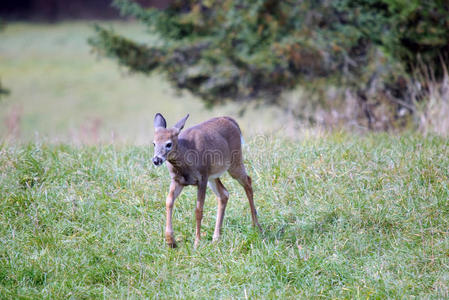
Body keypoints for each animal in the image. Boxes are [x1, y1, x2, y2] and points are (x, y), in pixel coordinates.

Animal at [151, 113, 260, 247]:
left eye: (168, 144)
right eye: (154, 143)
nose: (156, 160)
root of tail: (231, 120)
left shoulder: (202, 178)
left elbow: (198, 210)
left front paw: (197, 243)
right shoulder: (177, 180)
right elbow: (168, 202)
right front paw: (170, 241)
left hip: (234, 161)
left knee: (248, 181)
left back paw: (256, 226)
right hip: (213, 175)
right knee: (224, 194)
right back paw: (216, 238)